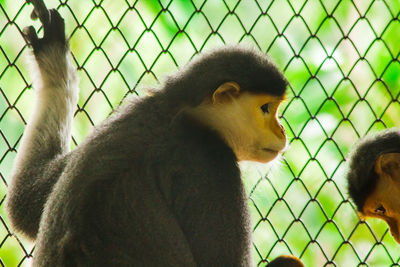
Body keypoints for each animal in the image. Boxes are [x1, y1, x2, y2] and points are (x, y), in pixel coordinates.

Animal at [3, 1, 304, 266]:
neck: (177, 110)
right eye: (265, 109)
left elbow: (23, 202)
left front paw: (53, 60)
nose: (281, 130)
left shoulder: (116, 121)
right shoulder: (209, 161)